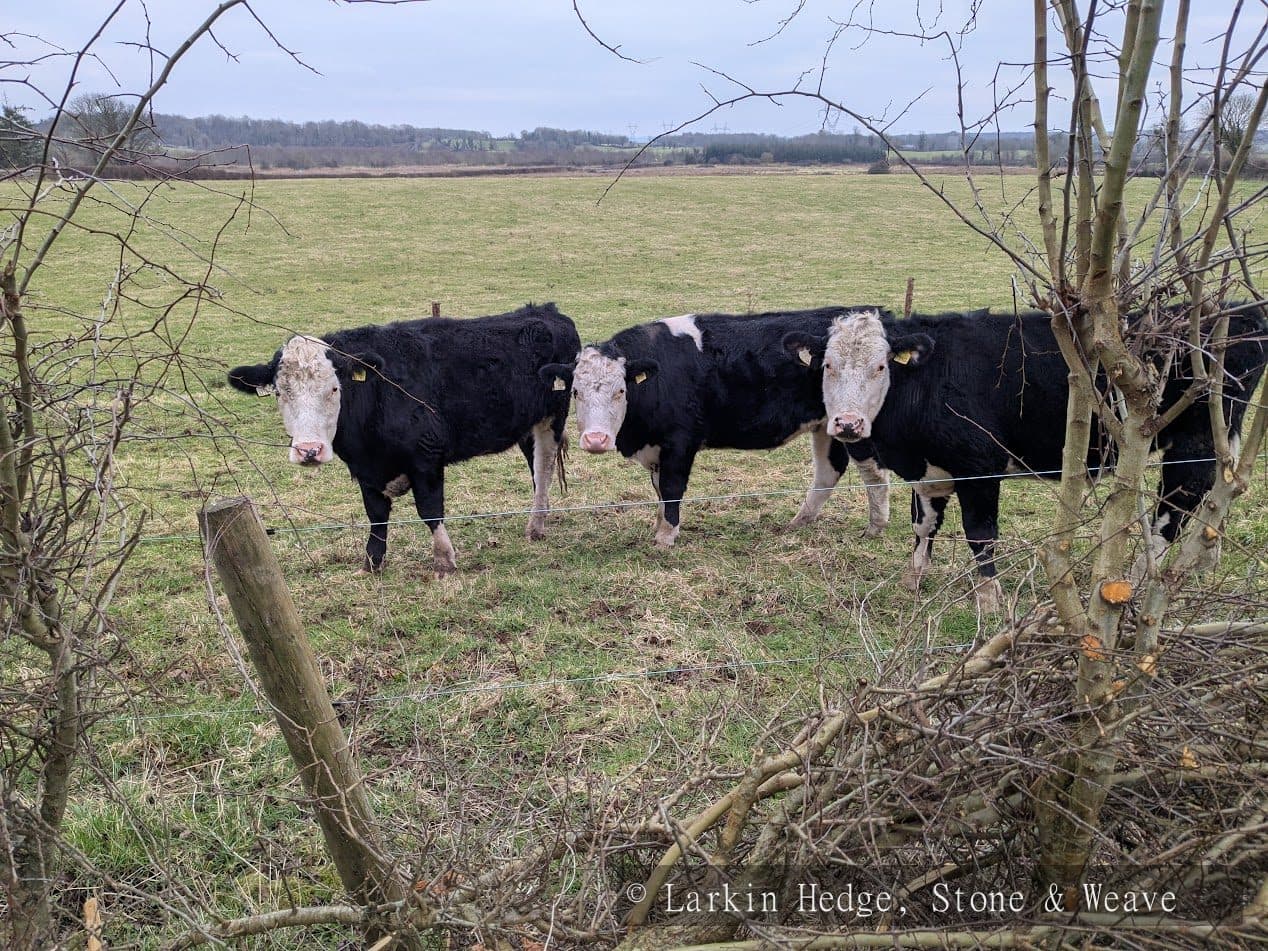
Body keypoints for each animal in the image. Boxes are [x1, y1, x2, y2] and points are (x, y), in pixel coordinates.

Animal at [227, 303, 580, 574]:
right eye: (280, 392)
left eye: (334, 388)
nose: (309, 450)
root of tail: (545, 311)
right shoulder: (365, 469)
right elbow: (376, 514)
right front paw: (372, 563)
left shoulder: (426, 456)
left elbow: (429, 509)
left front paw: (444, 560)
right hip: (526, 426)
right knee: (536, 469)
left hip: (552, 418)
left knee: (544, 467)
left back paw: (535, 526)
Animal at [538, 308, 891, 548]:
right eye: (576, 392)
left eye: (620, 391)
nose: (596, 440)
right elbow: (659, 491)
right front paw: (659, 527)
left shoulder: (680, 443)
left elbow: (671, 489)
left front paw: (665, 539)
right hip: (826, 427)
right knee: (828, 472)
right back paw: (798, 522)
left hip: (854, 426)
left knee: (874, 474)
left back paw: (875, 528)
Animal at [781, 304, 1268, 611]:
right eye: (828, 366)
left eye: (881, 366)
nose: (847, 424)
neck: (927, 382)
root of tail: (1238, 310)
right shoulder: (928, 470)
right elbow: (923, 525)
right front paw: (913, 579)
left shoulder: (980, 468)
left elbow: (981, 536)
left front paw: (989, 600)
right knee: (1220, 490)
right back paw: (1206, 560)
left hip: (1193, 444)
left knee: (1176, 508)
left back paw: (1143, 578)